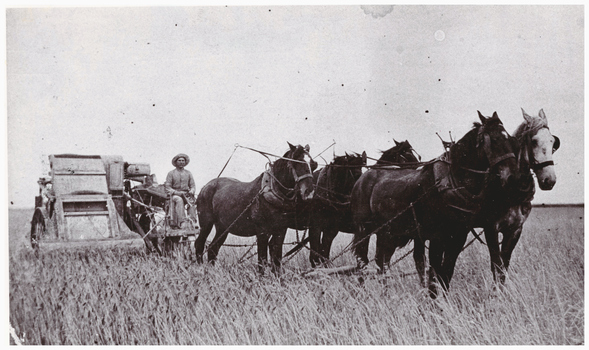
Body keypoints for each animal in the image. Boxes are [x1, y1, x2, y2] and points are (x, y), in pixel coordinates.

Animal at [196, 142, 316, 270]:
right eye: (298, 162)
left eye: (313, 165)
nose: (309, 193)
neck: (272, 191)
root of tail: (204, 187)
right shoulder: (262, 232)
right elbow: (262, 260)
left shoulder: (281, 231)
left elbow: (277, 258)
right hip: (206, 223)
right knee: (199, 244)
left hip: (223, 227)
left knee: (212, 248)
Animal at [352, 112, 516, 298]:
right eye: (494, 140)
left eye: (510, 139)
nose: (512, 177)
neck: (450, 183)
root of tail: (364, 177)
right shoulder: (436, 237)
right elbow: (434, 271)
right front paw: (433, 300)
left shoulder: (457, 237)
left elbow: (446, 272)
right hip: (363, 229)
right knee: (362, 262)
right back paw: (360, 292)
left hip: (387, 233)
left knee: (382, 262)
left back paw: (386, 293)